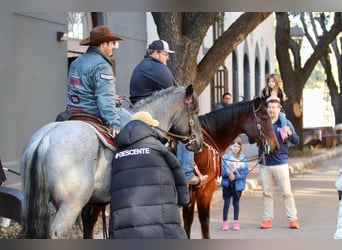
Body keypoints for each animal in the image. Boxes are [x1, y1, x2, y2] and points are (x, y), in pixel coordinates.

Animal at [20, 84, 202, 238]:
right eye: (195, 110)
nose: (198, 142)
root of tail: (45, 139)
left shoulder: (94, 203)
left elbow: (88, 229)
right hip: (69, 207)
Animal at [183, 97, 280, 238]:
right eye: (264, 118)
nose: (276, 146)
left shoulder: (192, 189)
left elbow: (188, 220)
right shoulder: (204, 187)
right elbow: (203, 219)